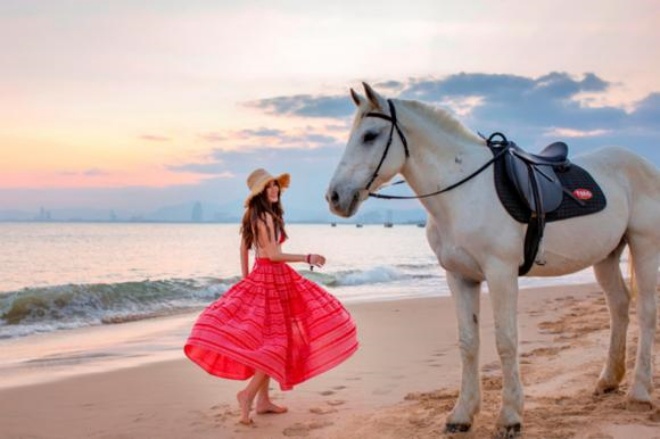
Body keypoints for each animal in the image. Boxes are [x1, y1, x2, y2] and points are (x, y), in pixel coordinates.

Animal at [326, 82, 660, 436]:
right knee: (619, 306)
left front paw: (510, 416)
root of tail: (643, 164)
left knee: (646, 312)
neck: (464, 192)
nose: (335, 197)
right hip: (607, 255)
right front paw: (462, 413)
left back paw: (639, 392)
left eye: (370, 136)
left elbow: (505, 341)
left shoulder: (501, 273)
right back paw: (608, 380)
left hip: (645, 246)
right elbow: (468, 342)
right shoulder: (460, 277)